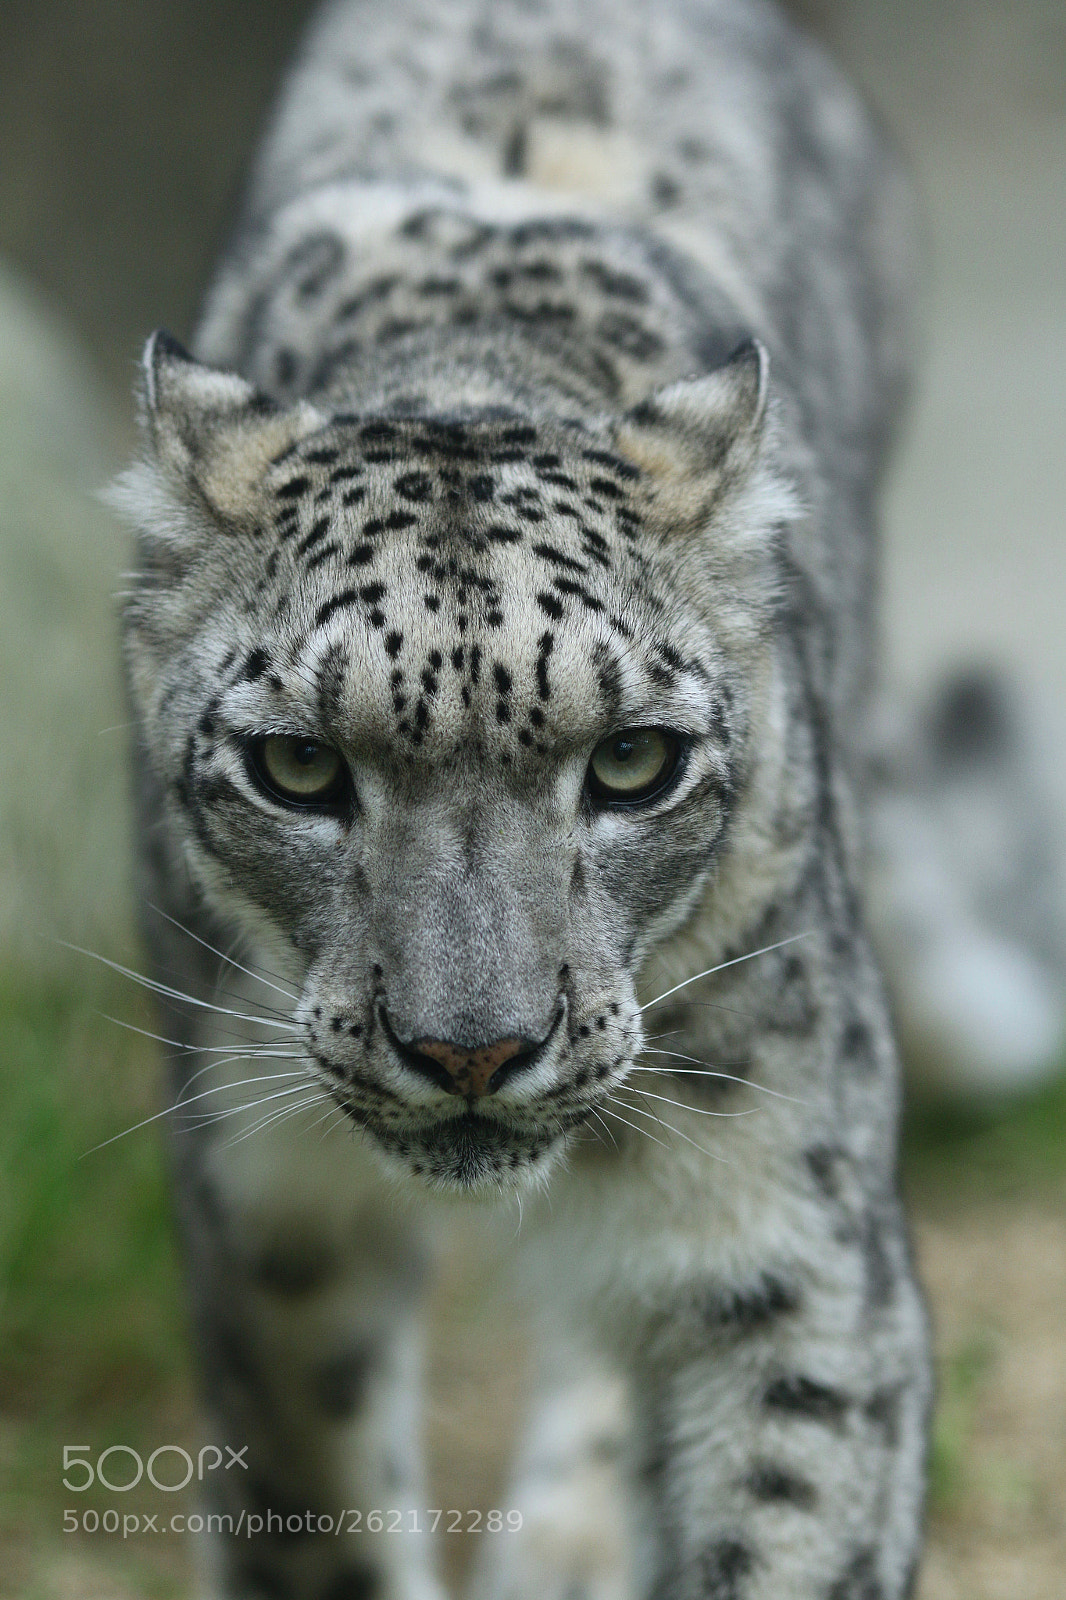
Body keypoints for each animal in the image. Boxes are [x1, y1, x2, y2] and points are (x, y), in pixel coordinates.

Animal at [111, 1, 932, 1596]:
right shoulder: (264, 1209)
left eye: (632, 763)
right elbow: (319, 1510)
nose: (473, 1050)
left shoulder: (786, 1227)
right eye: (297, 766)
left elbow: (788, 1512)